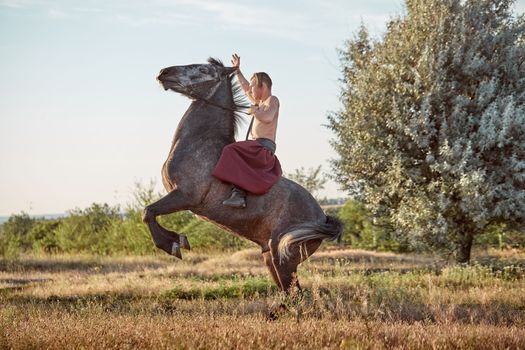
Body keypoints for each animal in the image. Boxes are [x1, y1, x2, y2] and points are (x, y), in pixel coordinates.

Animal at [141, 57, 344, 292]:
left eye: (203, 69)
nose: (164, 72)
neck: (199, 144)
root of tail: (322, 217)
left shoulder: (185, 196)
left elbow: (148, 212)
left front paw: (173, 243)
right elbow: (149, 213)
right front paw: (177, 240)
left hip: (284, 258)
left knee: (297, 294)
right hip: (270, 257)